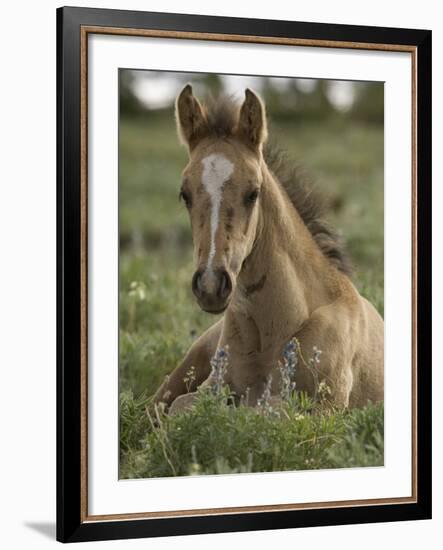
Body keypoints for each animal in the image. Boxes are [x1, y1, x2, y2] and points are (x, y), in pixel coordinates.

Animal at [153, 85, 386, 414]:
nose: (211, 285)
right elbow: (181, 408)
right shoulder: (211, 387)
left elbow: (268, 411)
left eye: (253, 192)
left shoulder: (326, 408)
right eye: (184, 194)